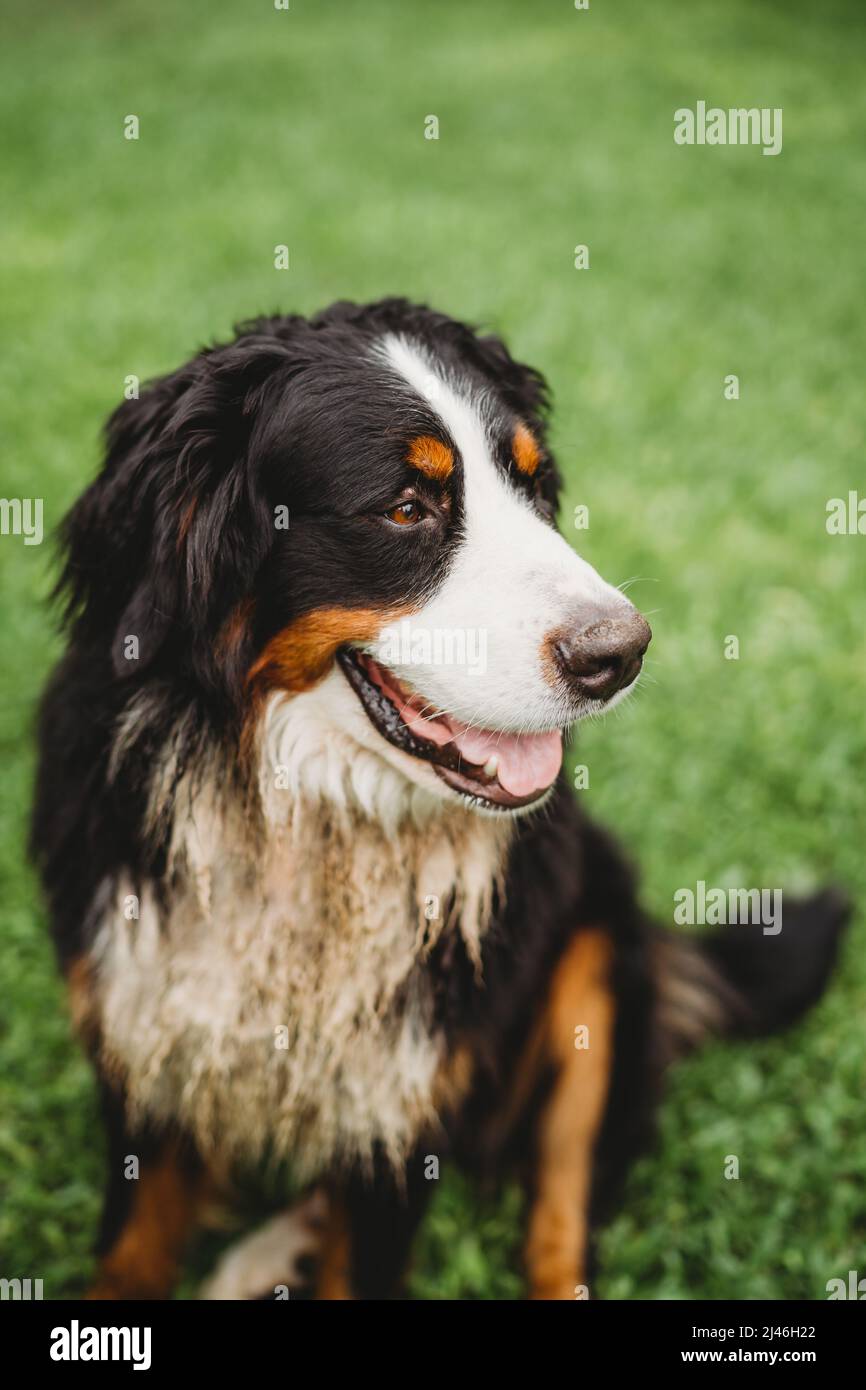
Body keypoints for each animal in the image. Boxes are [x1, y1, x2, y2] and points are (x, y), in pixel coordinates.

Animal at [32, 298, 845, 1295]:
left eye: (535, 489)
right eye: (406, 507)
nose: (620, 653)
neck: (306, 824)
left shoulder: (408, 1097)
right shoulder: (142, 1035)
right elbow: (132, 1250)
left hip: (593, 957)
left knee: (562, 1214)